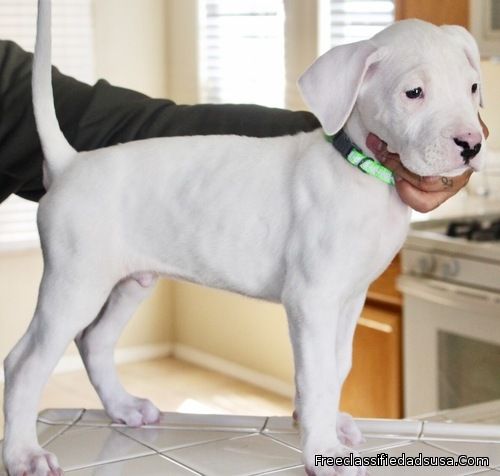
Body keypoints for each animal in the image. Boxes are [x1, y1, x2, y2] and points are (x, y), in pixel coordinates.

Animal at [1, 1, 484, 474]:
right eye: (413, 93)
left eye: (473, 88)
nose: (473, 145)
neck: (360, 175)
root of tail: (70, 163)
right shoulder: (311, 299)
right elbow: (316, 375)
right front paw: (321, 451)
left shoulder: (351, 298)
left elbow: (336, 367)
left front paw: (326, 424)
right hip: (75, 282)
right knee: (24, 363)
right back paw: (23, 454)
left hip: (129, 280)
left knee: (95, 340)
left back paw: (124, 407)